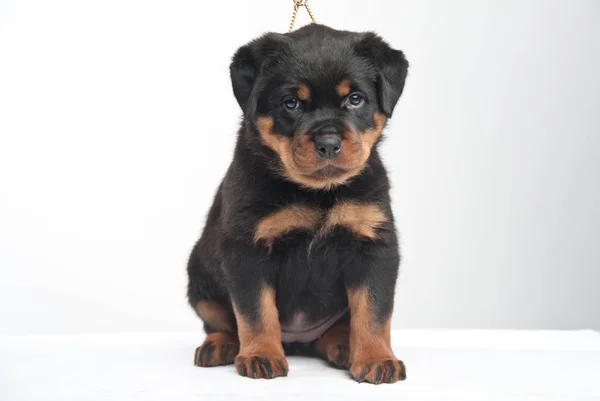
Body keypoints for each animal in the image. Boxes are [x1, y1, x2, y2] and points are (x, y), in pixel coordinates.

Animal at [188, 22, 410, 384]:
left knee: (339, 327)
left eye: (355, 99)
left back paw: (344, 347)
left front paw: (377, 358)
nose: (329, 143)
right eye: (290, 103)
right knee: (220, 321)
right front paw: (261, 355)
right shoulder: (246, 249)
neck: (317, 191)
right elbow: (256, 311)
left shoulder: (373, 245)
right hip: (199, 275)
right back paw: (220, 346)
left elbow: (374, 312)